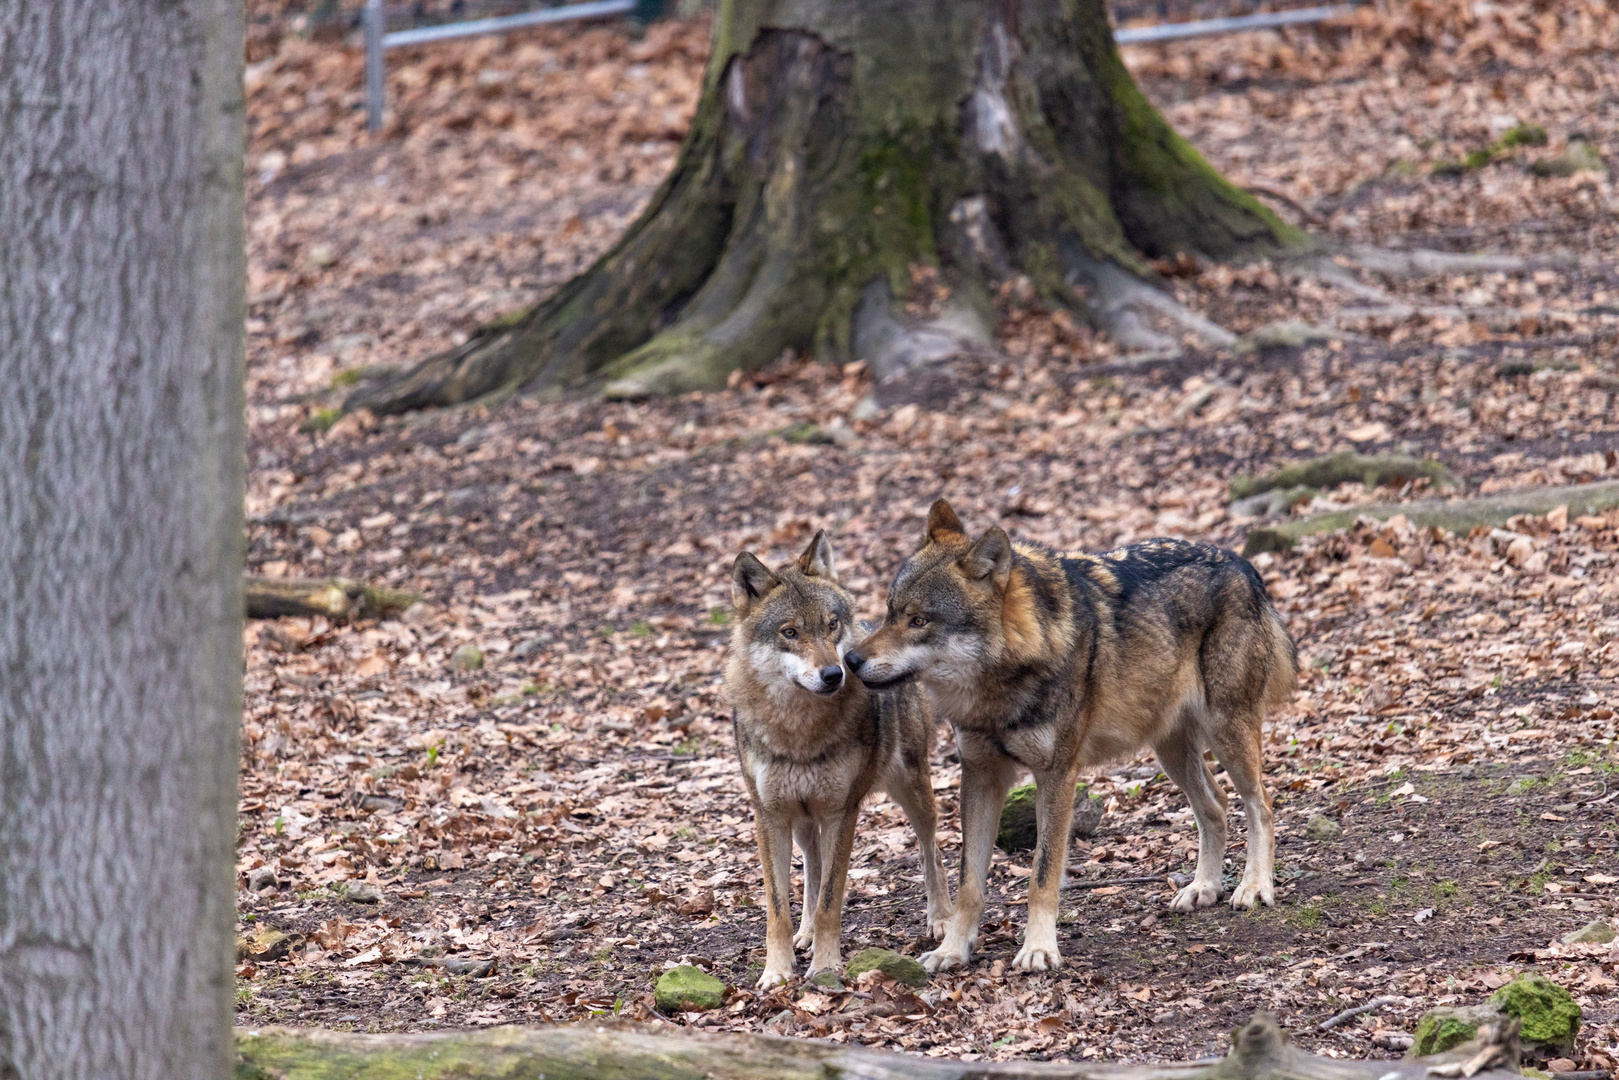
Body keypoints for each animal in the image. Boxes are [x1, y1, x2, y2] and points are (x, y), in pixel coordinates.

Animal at [728, 531, 951, 990]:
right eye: (790, 632)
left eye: (831, 625)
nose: (835, 673)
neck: (799, 731)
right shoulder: (770, 815)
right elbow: (779, 907)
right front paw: (777, 972)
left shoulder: (840, 812)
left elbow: (831, 901)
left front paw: (826, 968)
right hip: (802, 821)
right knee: (811, 870)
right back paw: (805, 934)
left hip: (913, 792)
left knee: (931, 849)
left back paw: (940, 919)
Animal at [854, 501, 1295, 977]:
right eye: (889, 613)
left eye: (919, 621)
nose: (851, 659)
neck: (1000, 686)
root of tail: (1242, 564)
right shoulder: (980, 776)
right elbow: (969, 881)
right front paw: (952, 950)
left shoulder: (1057, 775)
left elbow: (1042, 874)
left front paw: (1039, 949)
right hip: (1170, 751)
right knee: (1216, 805)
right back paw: (1203, 888)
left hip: (1227, 732)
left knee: (1261, 805)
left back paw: (1254, 887)